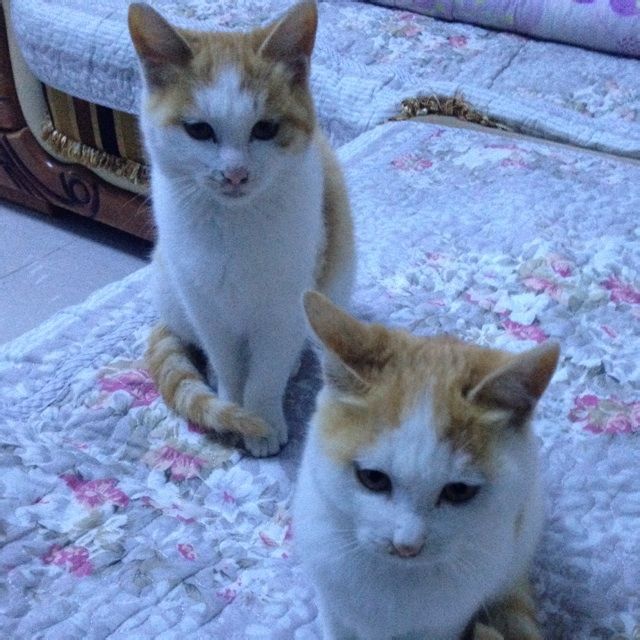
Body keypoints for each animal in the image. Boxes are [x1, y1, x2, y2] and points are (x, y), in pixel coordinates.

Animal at [128, 1, 354, 457]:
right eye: (199, 130)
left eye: (265, 128)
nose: (235, 174)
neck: (233, 226)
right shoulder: (205, 306)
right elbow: (228, 362)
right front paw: (234, 409)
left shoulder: (285, 307)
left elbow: (267, 371)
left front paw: (263, 421)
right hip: (171, 289)